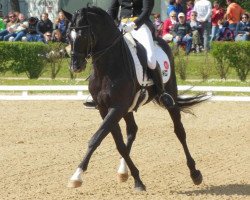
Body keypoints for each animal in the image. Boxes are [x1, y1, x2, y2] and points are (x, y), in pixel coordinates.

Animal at [62, 5, 205, 191]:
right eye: (67, 36)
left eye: (84, 36)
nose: (75, 66)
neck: (107, 68)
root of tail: (162, 41)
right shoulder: (105, 108)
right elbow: (119, 144)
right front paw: (136, 178)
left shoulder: (117, 108)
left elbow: (96, 138)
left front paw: (77, 176)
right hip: (128, 108)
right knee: (132, 130)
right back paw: (123, 171)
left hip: (169, 96)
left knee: (180, 132)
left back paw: (195, 173)